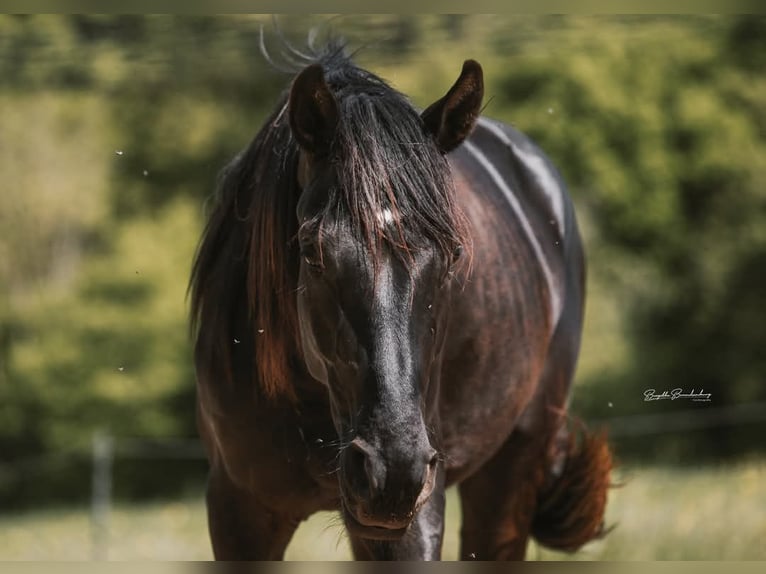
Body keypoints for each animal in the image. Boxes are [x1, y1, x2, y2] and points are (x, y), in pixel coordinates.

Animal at [190, 41, 612, 561]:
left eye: (454, 254)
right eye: (310, 249)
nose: (393, 470)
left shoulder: (417, 517)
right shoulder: (238, 510)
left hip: (512, 469)